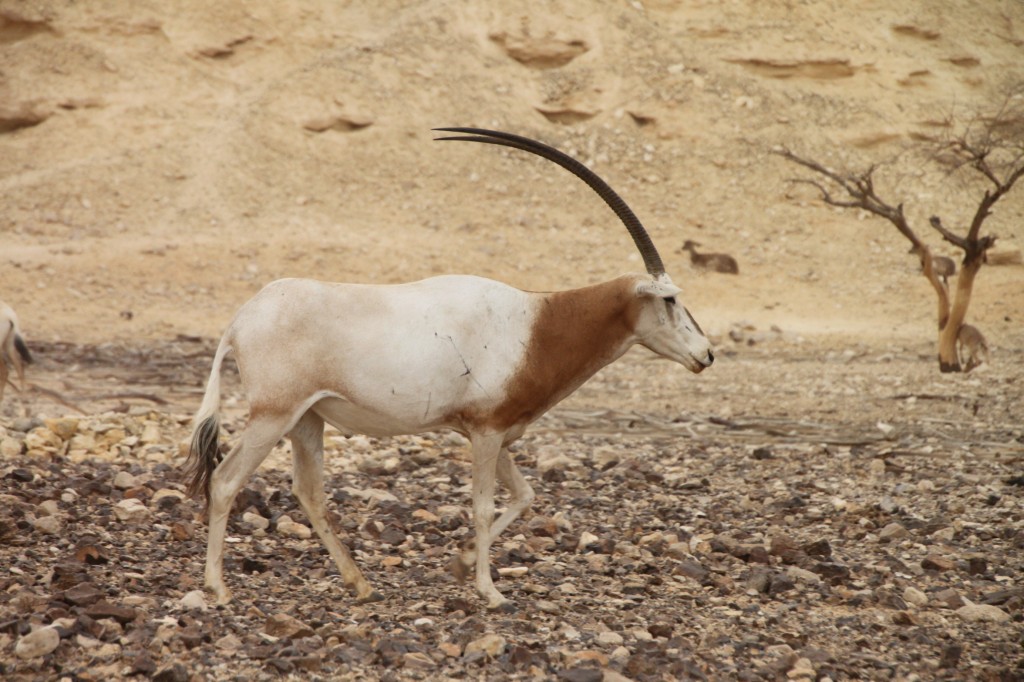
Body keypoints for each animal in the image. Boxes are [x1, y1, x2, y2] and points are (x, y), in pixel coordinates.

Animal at [186, 127, 712, 610]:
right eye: (670, 300)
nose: (706, 354)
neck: (539, 323)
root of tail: (241, 319)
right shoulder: (485, 432)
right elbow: (482, 507)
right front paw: (490, 591)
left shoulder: (496, 431)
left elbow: (525, 496)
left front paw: (459, 567)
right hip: (273, 415)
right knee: (226, 480)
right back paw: (218, 588)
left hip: (306, 419)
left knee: (309, 491)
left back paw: (359, 584)